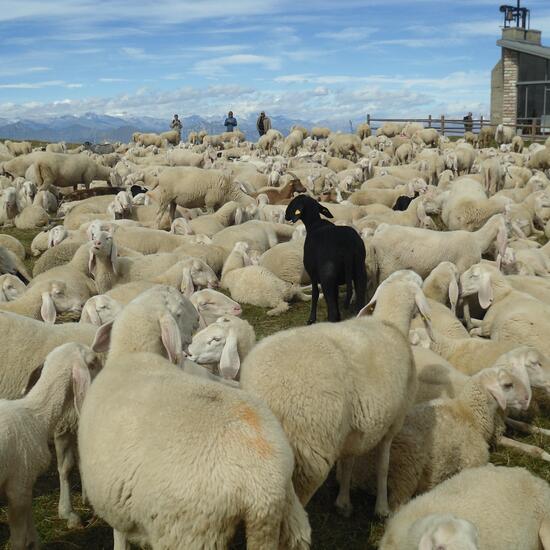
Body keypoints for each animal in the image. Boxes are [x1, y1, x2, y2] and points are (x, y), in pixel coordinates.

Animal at [286, 195, 368, 326]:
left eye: (293, 203)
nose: (285, 215)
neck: (314, 224)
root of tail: (346, 246)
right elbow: (335, 296)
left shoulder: (313, 275)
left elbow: (315, 294)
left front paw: (311, 319)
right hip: (359, 271)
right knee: (360, 303)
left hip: (327, 276)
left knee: (332, 310)